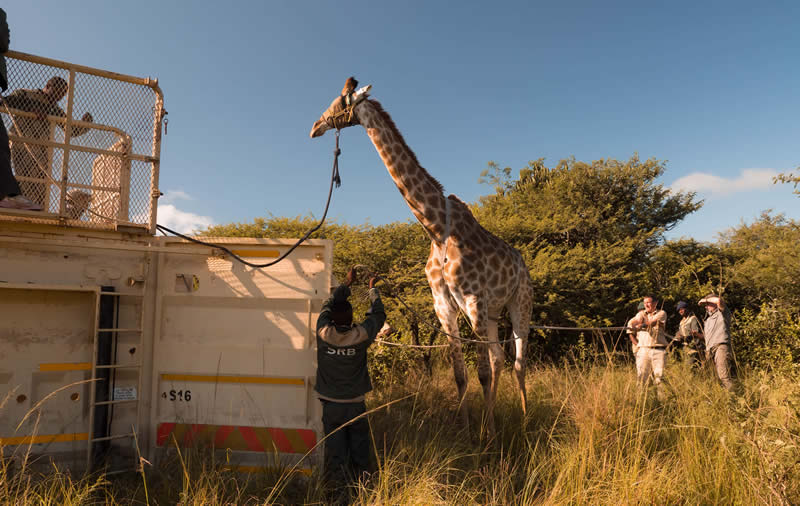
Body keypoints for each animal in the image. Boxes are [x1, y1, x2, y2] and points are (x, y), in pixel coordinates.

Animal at [310, 77, 536, 432]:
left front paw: (486, 436)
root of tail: (523, 266)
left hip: (519, 302)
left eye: (338, 101)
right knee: (501, 358)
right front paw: (467, 430)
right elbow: (461, 374)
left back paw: (522, 419)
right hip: (492, 312)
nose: (315, 127)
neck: (436, 227)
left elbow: (483, 372)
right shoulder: (444, 305)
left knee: (516, 361)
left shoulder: (473, 299)